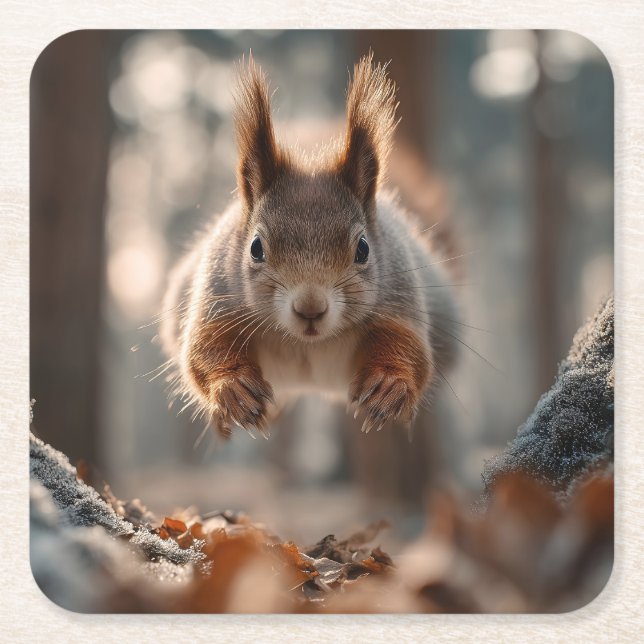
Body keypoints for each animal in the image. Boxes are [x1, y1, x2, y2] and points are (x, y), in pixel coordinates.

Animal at [159, 55, 459, 439]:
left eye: (363, 249)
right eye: (255, 247)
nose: (311, 309)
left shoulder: (399, 298)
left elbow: (409, 348)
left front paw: (388, 386)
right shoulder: (218, 296)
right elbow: (204, 348)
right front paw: (233, 388)